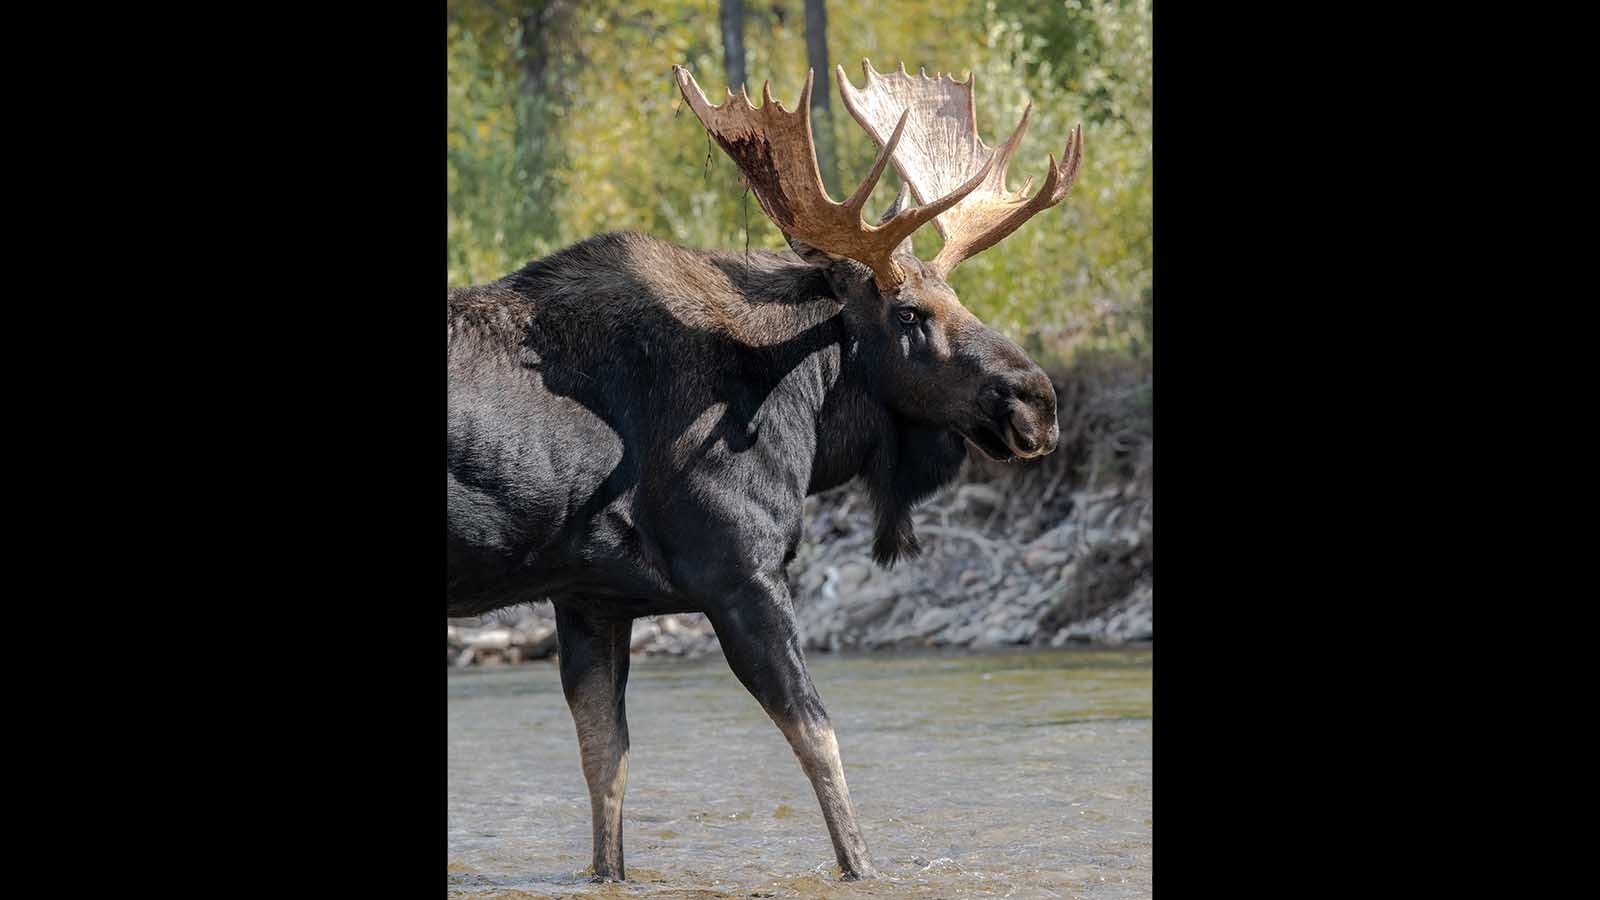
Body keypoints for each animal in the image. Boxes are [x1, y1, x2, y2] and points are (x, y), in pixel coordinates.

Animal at [444, 61, 1081, 877]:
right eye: (910, 314)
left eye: (958, 297)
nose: (1038, 401)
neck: (803, 406)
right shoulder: (740, 572)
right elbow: (818, 738)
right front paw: (863, 869)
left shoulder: (591, 597)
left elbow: (606, 766)